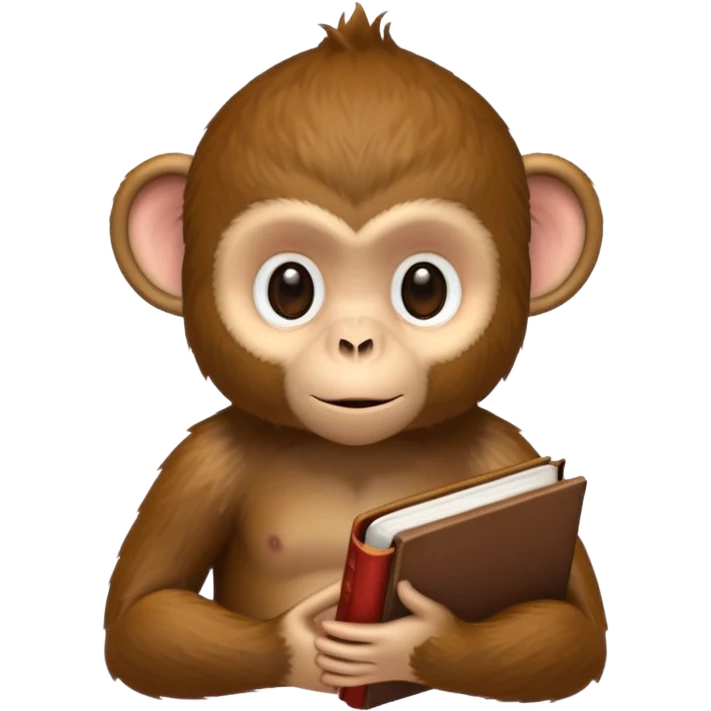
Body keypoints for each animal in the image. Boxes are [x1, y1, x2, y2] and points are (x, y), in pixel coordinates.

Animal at [104, 2, 608, 705]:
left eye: (424, 288)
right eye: (290, 288)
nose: (356, 340)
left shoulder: (505, 453)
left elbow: (577, 628)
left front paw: (408, 639)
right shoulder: (201, 463)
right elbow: (138, 618)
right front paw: (301, 643)